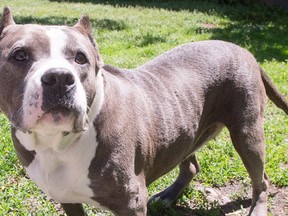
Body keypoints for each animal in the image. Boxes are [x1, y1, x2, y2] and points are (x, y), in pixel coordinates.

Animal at [0, 6, 288, 216]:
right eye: (19, 55)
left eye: (80, 58)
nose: (59, 78)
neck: (57, 144)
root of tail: (244, 50)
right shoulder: (67, 199)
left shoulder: (132, 203)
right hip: (185, 129)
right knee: (190, 164)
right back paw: (169, 195)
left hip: (247, 131)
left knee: (260, 179)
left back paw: (258, 208)